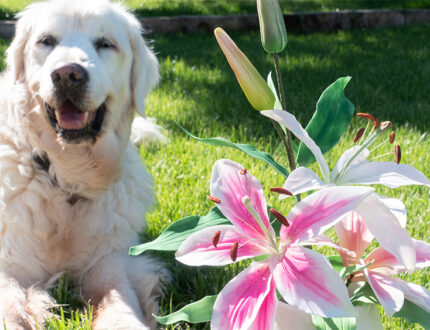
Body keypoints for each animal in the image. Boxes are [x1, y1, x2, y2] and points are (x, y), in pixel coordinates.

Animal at [0, 1, 168, 328]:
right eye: (47, 41)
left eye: (105, 44)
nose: (67, 75)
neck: (67, 180)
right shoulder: (10, 262)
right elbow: (10, 309)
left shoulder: (107, 261)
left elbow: (119, 300)